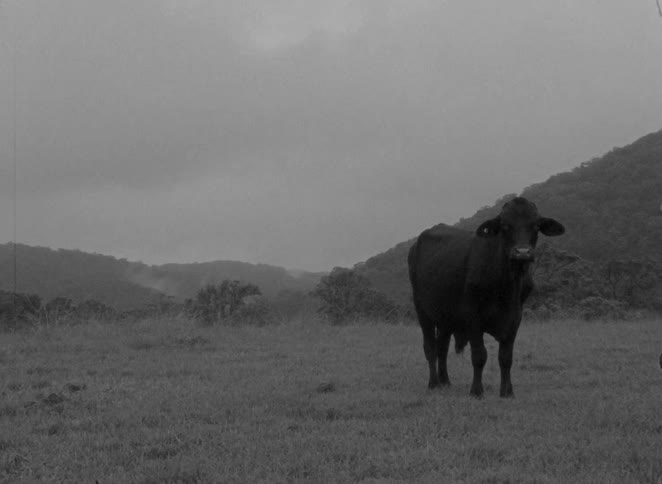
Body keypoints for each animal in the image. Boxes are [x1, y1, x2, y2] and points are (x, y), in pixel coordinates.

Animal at [408, 197, 565, 398]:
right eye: (505, 225)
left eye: (536, 225)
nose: (522, 252)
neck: (505, 286)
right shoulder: (473, 318)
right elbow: (479, 356)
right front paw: (476, 391)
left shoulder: (515, 318)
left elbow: (506, 358)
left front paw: (507, 391)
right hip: (422, 311)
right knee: (430, 348)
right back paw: (433, 383)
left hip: (446, 317)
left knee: (442, 348)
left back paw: (445, 382)